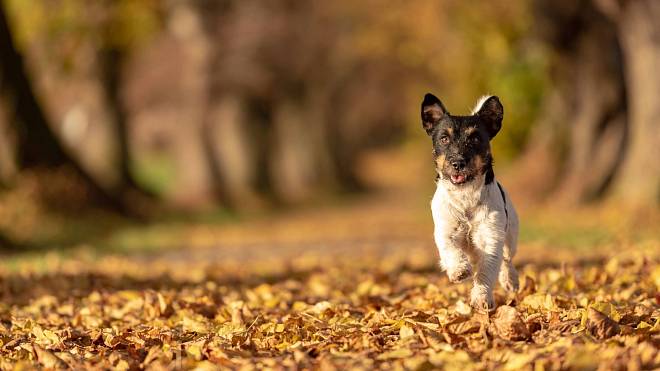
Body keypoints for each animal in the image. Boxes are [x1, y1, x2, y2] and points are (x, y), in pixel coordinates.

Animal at [422, 93, 520, 314]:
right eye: (444, 138)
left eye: (475, 138)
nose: (458, 162)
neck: (465, 195)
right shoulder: (445, 231)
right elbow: (451, 250)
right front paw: (459, 269)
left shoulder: (490, 237)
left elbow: (487, 271)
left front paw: (482, 298)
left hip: (511, 235)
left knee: (507, 259)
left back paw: (510, 280)